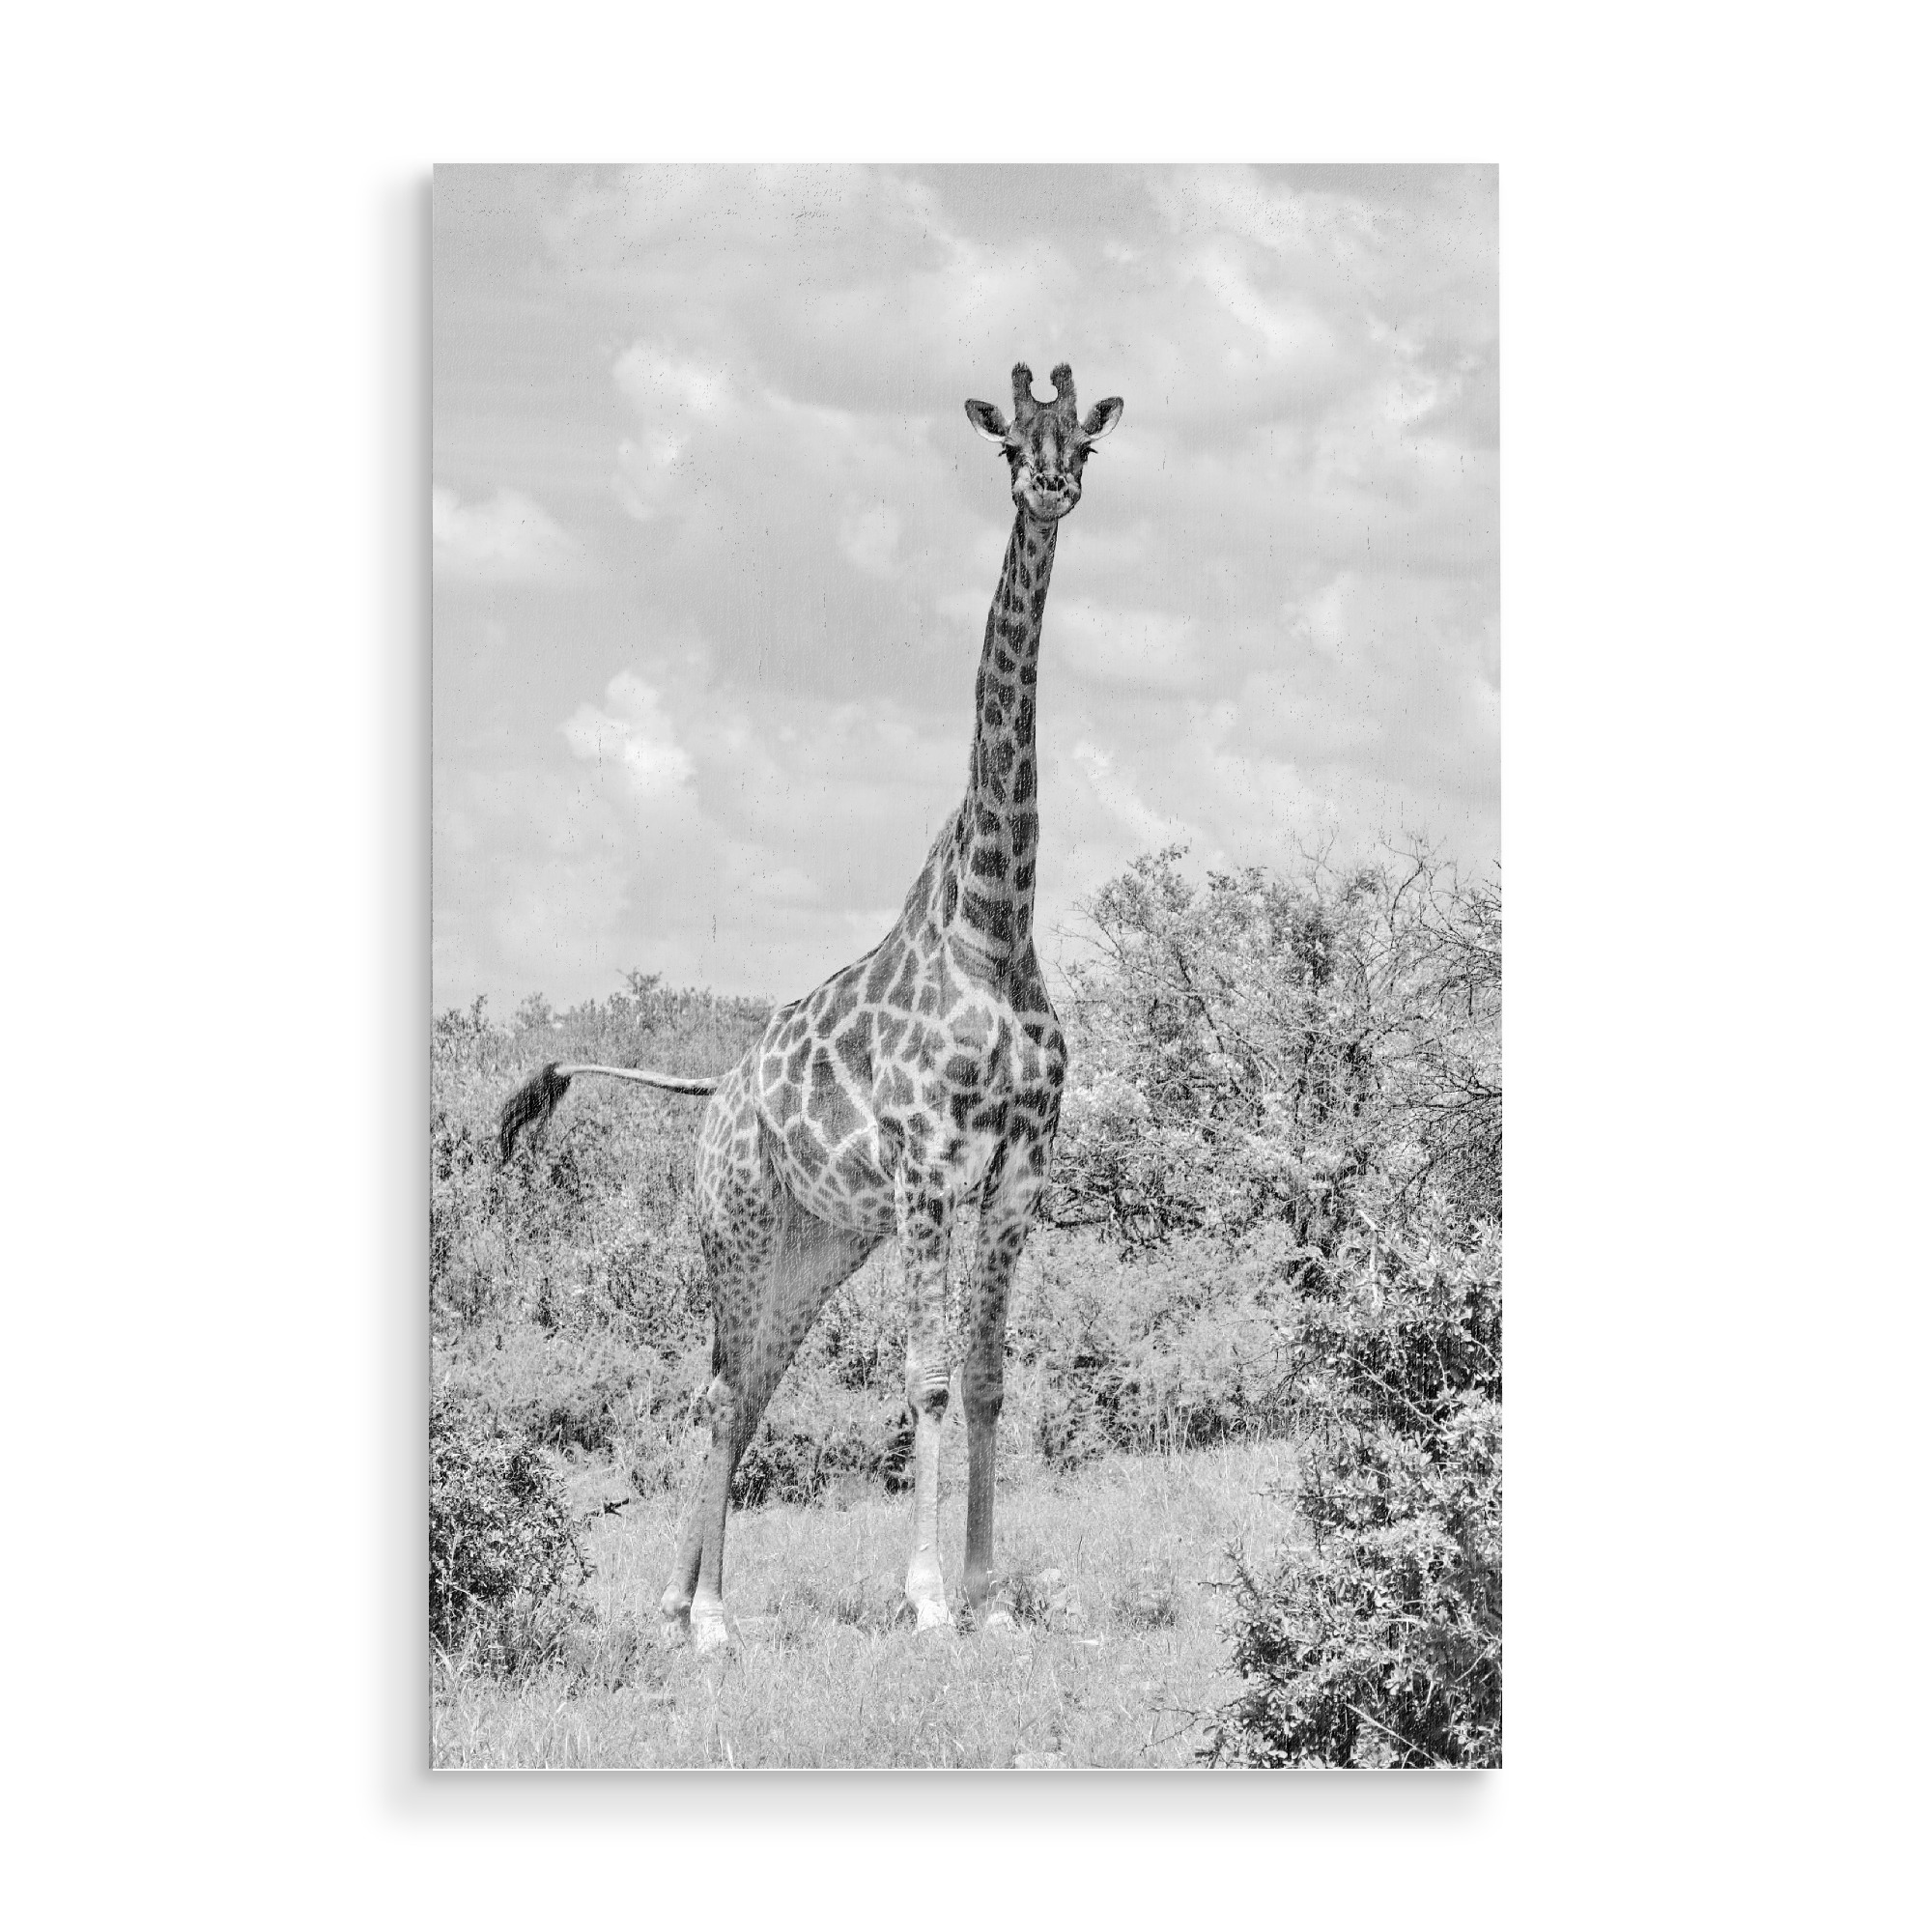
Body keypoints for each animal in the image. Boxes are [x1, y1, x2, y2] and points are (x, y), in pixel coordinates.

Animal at [499, 361, 1124, 1653]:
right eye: (1007, 444)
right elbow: (925, 1376)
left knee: (742, 1391)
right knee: (716, 1387)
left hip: (815, 1241)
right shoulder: (930, 1166)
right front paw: (928, 1598)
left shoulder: (1018, 1176)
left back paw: (680, 1600)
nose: (1050, 486)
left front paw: (990, 1594)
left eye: (1081, 438)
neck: (996, 922)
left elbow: (986, 1378)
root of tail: (716, 1087)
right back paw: (709, 1623)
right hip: (733, 1218)